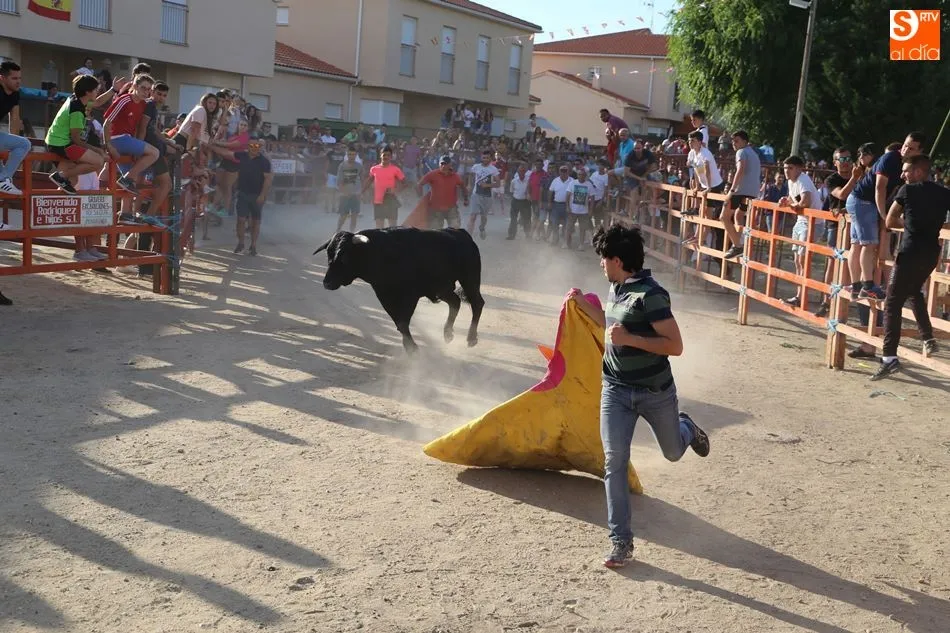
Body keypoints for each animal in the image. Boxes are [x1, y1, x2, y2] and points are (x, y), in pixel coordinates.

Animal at [313, 227, 485, 353]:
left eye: (345, 258)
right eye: (328, 256)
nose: (327, 283)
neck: (378, 253)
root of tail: (461, 233)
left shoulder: (410, 295)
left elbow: (402, 322)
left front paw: (411, 348)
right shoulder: (384, 295)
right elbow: (398, 322)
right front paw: (409, 346)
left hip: (469, 279)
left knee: (477, 303)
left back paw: (471, 338)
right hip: (441, 288)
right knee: (455, 301)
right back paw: (448, 334)